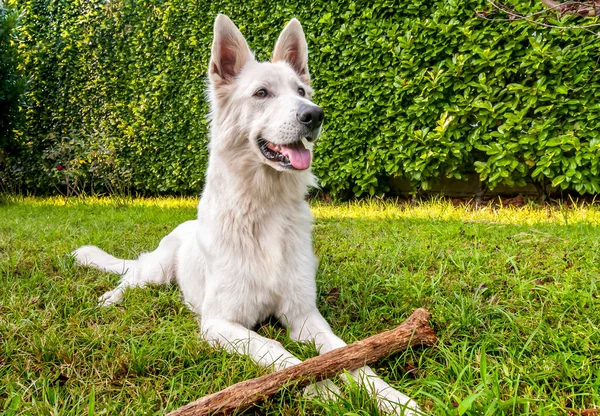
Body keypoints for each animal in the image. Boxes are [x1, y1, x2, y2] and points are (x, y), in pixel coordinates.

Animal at [75, 14, 420, 414]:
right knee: (131, 276)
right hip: (157, 271)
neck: (263, 209)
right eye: (262, 93)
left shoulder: (305, 316)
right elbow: (279, 353)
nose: (315, 115)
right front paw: (324, 389)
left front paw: (395, 399)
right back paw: (111, 299)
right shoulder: (220, 323)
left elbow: (349, 355)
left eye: (301, 91)